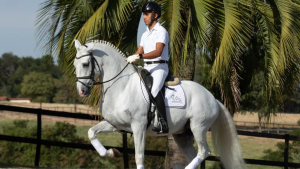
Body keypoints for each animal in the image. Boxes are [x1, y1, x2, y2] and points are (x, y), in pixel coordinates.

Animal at [73, 40, 246, 169]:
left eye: (86, 64)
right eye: (75, 65)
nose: (82, 91)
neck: (122, 86)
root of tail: (213, 98)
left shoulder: (139, 127)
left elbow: (139, 157)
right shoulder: (114, 123)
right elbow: (91, 132)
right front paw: (112, 153)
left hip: (199, 127)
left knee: (204, 152)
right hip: (182, 135)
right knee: (194, 156)